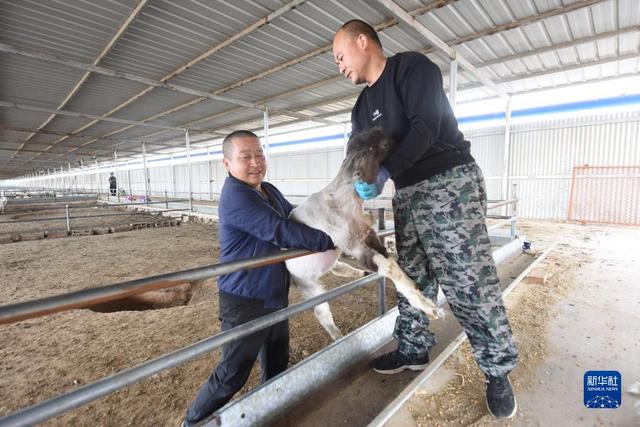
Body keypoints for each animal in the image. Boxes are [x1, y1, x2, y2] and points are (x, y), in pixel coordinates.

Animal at [288, 127, 442, 342]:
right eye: (383, 144)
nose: (400, 140)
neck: (341, 199)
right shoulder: (355, 246)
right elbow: (388, 266)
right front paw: (427, 306)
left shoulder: (369, 235)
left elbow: (391, 262)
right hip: (308, 287)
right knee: (323, 314)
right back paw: (338, 337)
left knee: (340, 268)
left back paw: (360, 274)